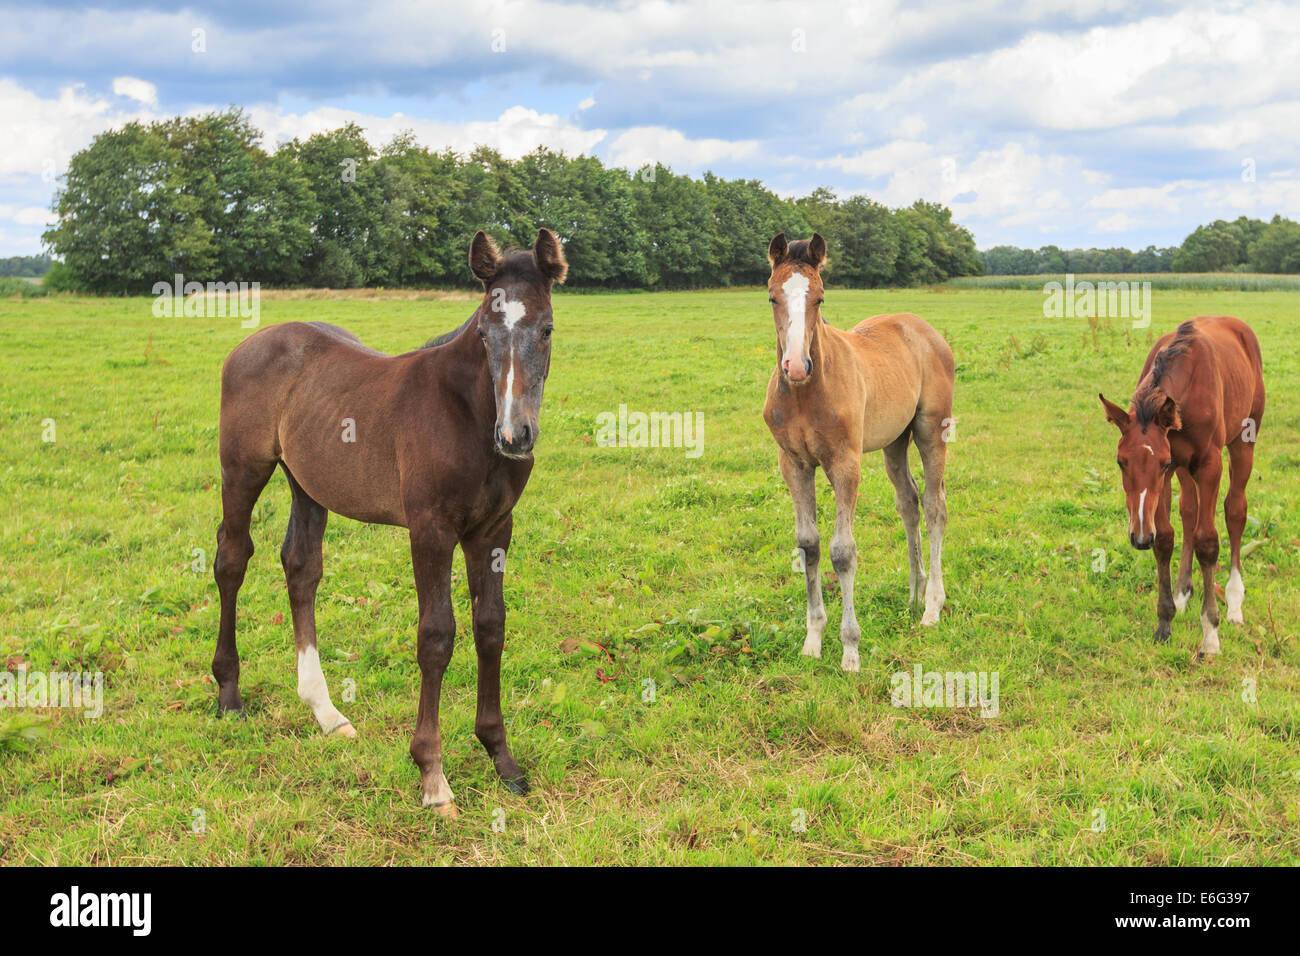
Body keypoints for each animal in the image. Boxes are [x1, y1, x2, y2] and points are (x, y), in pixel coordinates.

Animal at [214, 227, 569, 811]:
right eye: (485, 333)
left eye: (546, 329)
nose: (515, 435)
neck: (466, 414)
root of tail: (252, 342)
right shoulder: (430, 530)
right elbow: (437, 637)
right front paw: (432, 776)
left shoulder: (495, 529)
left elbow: (490, 628)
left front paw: (502, 758)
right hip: (243, 469)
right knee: (231, 560)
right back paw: (228, 693)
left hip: (307, 481)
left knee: (301, 568)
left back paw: (327, 713)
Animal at [759, 234, 956, 671]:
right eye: (772, 297)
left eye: (819, 298)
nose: (795, 366)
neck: (807, 393)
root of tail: (924, 329)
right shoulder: (793, 464)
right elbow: (809, 544)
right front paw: (812, 640)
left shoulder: (844, 463)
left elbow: (842, 552)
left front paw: (850, 650)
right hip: (895, 441)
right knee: (908, 502)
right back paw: (914, 594)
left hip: (931, 430)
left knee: (935, 506)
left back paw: (932, 607)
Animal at [1102, 316, 1263, 658]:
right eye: (1121, 462)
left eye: (1161, 463)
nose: (1138, 538)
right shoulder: (1174, 466)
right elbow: (1165, 538)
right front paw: (1164, 622)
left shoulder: (1204, 466)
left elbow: (1208, 541)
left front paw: (1211, 636)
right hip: (1187, 470)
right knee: (1189, 512)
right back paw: (1182, 592)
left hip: (1244, 441)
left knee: (1235, 511)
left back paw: (1234, 604)